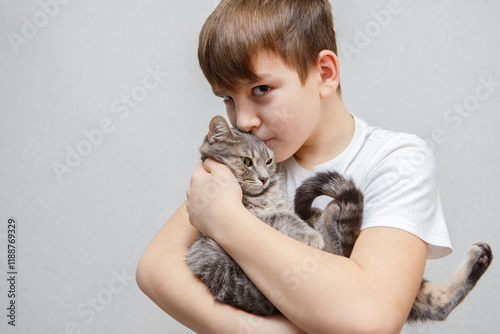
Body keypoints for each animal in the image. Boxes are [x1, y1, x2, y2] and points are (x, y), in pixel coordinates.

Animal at [187, 114, 492, 320]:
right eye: (246, 162)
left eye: (269, 161)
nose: (263, 177)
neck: (265, 195)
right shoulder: (251, 217)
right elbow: (281, 217)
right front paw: (308, 229)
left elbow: (291, 213)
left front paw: (312, 216)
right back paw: (330, 214)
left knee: (437, 303)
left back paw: (480, 258)